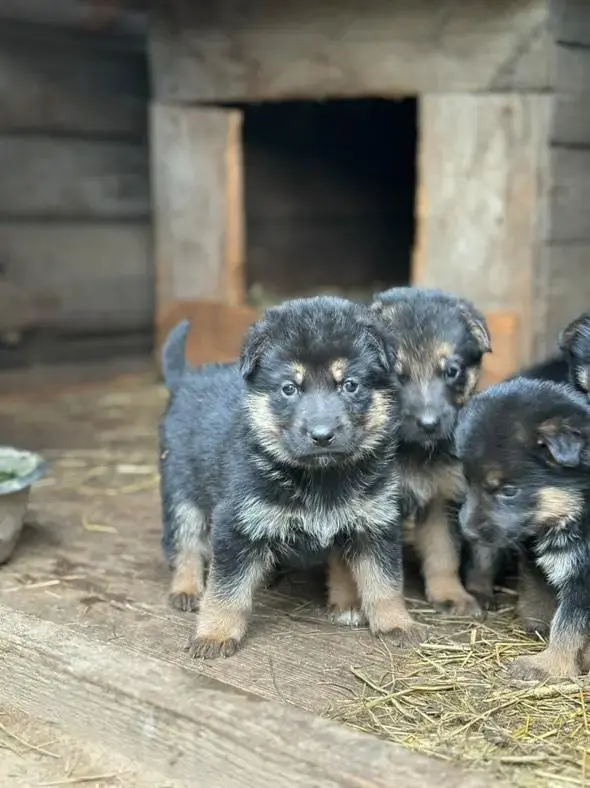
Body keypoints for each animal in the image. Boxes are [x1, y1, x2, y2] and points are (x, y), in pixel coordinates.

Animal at [157, 296, 426, 660]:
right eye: (289, 389)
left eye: (350, 385)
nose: (322, 435)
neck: (321, 476)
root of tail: (186, 379)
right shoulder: (237, 522)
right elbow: (226, 590)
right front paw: (215, 633)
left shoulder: (373, 523)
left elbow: (384, 582)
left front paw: (396, 622)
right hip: (183, 491)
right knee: (185, 543)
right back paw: (186, 588)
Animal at [370, 288, 494, 616]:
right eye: (396, 376)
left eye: (452, 371)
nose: (428, 424)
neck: (412, 452)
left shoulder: (442, 499)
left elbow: (443, 554)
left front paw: (451, 595)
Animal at [458, 378, 590, 680]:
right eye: (468, 481)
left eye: (509, 491)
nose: (468, 532)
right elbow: (537, 588)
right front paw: (537, 624)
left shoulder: (584, 578)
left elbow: (568, 624)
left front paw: (548, 665)